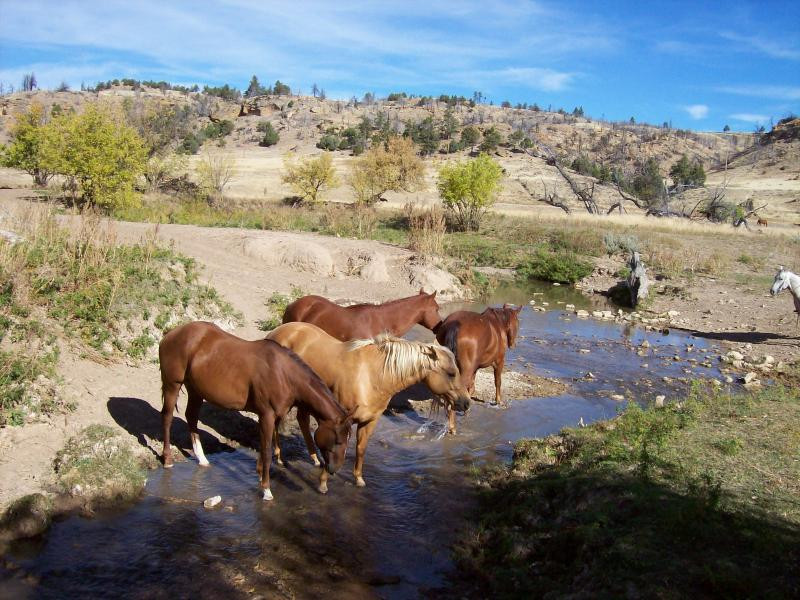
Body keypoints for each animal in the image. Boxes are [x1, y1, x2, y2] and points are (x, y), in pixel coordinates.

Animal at [159, 322, 354, 500]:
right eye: (337, 440)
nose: (334, 469)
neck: (284, 375)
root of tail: (170, 334)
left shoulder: (272, 417)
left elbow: (265, 446)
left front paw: (260, 475)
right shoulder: (267, 415)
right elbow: (267, 450)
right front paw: (266, 490)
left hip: (195, 390)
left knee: (191, 417)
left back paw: (202, 459)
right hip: (172, 384)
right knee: (167, 418)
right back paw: (167, 460)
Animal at [266, 324, 472, 492]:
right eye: (451, 373)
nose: (466, 402)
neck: (372, 377)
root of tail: (276, 333)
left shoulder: (369, 421)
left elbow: (361, 449)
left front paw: (358, 479)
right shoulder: (339, 422)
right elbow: (336, 448)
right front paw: (323, 482)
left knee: (301, 419)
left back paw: (314, 458)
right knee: (277, 423)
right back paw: (279, 457)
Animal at [434, 304, 520, 432]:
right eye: (517, 323)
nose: (513, 345)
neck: (498, 324)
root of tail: (454, 325)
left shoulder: (474, 369)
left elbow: (471, 388)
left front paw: (467, 408)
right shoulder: (499, 362)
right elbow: (498, 382)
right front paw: (498, 401)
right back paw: (452, 427)